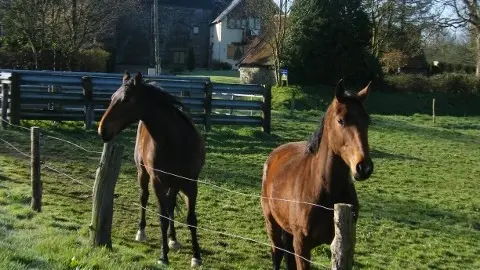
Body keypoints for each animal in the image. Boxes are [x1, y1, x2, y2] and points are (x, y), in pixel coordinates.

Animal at [97, 70, 204, 266]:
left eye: (126, 99)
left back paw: (173, 239)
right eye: (112, 97)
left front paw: (196, 257)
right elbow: (162, 218)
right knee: (144, 198)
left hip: (175, 184)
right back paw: (142, 232)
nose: (102, 130)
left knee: (171, 206)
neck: (175, 142)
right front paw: (163, 257)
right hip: (143, 174)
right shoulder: (158, 182)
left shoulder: (191, 184)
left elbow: (191, 219)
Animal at [260, 80, 374, 270]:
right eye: (341, 120)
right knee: (277, 254)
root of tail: (274, 154)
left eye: (367, 121)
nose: (364, 167)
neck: (325, 190)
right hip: (272, 224)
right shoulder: (302, 246)